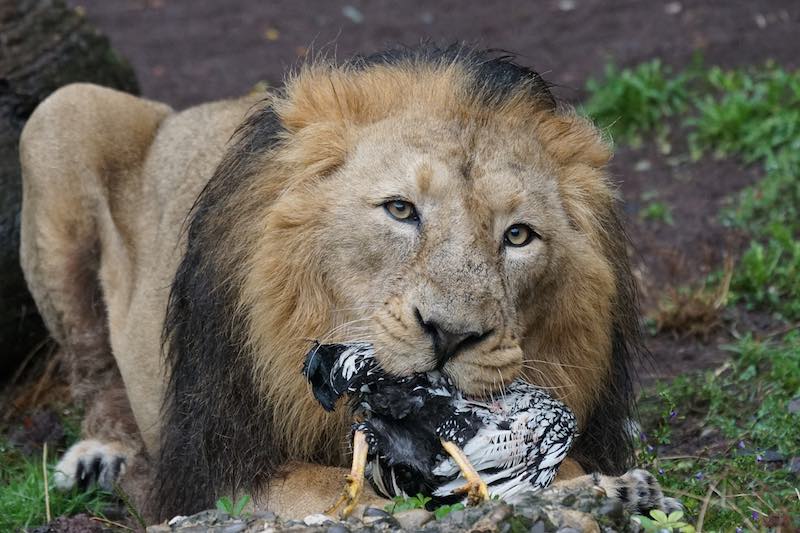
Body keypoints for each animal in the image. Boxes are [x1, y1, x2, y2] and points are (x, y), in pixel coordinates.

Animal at [19, 46, 679, 522]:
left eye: (518, 236)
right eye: (401, 209)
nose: (450, 335)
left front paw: (611, 490)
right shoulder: (221, 468)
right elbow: (337, 488)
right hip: (60, 114)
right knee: (92, 366)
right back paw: (103, 457)